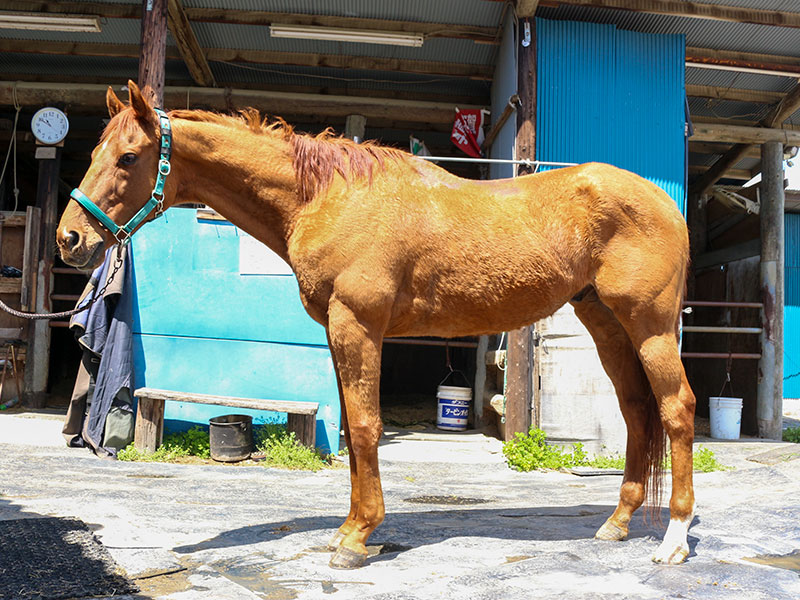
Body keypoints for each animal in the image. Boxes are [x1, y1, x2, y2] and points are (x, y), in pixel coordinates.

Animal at [57, 81, 696, 569]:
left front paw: (358, 538)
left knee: (677, 410)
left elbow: (364, 427)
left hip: (650, 326)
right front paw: (350, 529)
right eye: (93, 153)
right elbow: (352, 428)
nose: (71, 239)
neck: (325, 198)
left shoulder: (357, 325)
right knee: (637, 412)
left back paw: (673, 540)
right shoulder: (338, 331)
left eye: (128, 158)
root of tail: (664, 201)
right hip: (605, 322)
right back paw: (618, 522)